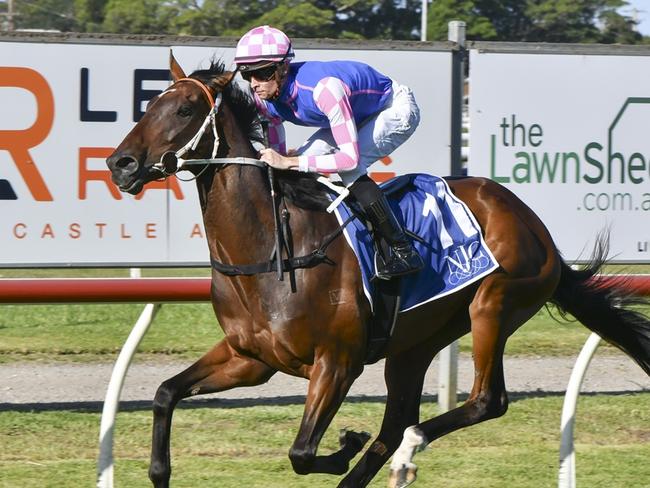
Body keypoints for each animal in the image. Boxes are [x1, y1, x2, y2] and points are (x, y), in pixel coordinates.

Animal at [106, 55, 648, 486]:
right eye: (148, 105)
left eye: (184, 109)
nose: (121, 164)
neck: (270, 252)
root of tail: (538, 229)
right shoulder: (250, 357)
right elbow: (164, 392)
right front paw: (158, 470)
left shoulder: (337, 362)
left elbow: (302, 452)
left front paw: (344, 445)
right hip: (417, 339)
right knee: (398, 419)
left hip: (494, 306)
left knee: (484, 401)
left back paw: (410, 450)